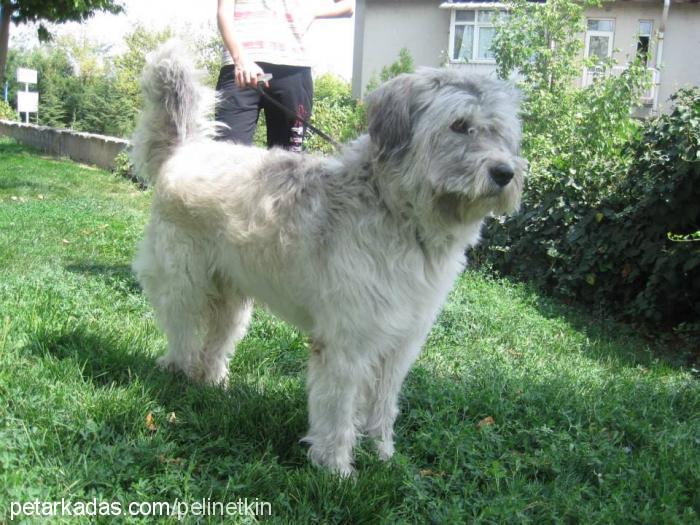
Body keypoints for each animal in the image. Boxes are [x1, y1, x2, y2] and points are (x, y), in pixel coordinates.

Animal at [131, 41, 524, 474]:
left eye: (499, 131)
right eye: (458, 125)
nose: (504, 173)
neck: (397, 213)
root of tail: (186, 151)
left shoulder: (400, 342)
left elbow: (384, 403)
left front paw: (384, 455)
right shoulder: (346, 341)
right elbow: (338, 408)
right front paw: (336, 467)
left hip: (232, 298)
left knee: (217, 340)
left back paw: (213, 381)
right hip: (183, 283)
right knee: (182, 332)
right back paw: (180, 376)